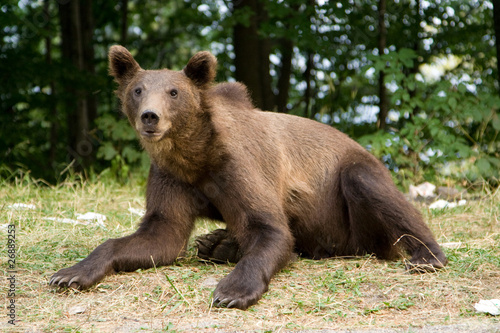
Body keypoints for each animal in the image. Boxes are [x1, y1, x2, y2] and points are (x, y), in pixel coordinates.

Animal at [49, 44, 450, 308]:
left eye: (174, 91)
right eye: (137, 89)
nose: (151, 116)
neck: (195, 155)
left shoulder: (239, 168)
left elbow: (270, 229)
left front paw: (232, 291)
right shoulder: (173, 178)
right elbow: (159, 234)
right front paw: (70, 273)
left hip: (347, 193)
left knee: (371, 190)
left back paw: (427, 256)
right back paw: (217, 243)